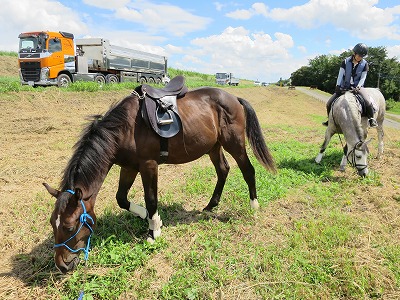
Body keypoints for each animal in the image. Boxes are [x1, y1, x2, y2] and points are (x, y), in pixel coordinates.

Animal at [43, 81, 276, 274]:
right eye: (52, 224)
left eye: (69, 227)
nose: (61, 265)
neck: (124, 128)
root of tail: (234, 97)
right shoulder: (129, 167)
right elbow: (121, 199)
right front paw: (145, 216)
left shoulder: (148, 166)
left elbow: (151, 198)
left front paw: (153, 231)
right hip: (213, 146)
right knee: (223, 170)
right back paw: (211, 205)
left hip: (234, 143)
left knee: (248, 170)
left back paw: (254, 207)